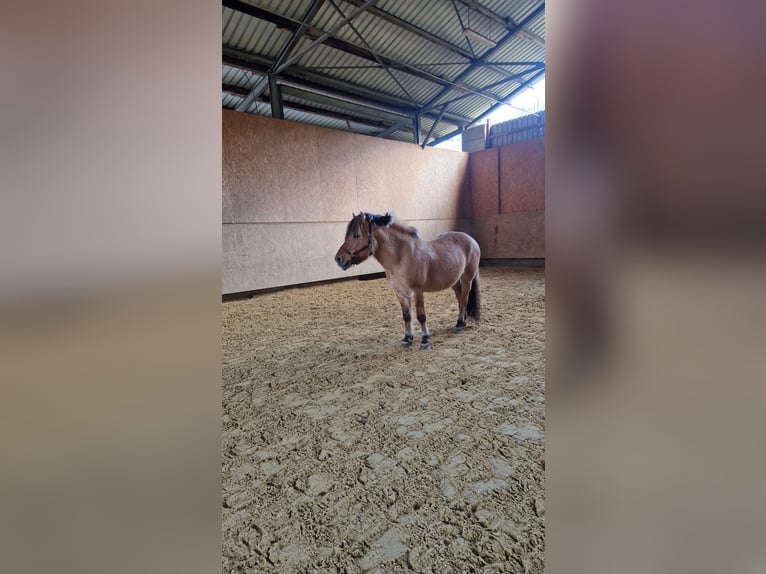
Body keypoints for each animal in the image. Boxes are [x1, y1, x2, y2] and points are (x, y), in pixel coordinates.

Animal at [334, 212, 481, 350]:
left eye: (357, 235)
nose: (338, 259)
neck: (401, 256)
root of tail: (471, 239)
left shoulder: (417, 290)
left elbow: (421, 316)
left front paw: (425, 340)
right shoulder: (400, 292)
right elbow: (406, 316)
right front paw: (407, 338)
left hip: (467, 279)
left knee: (464, 299)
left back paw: (460, 324)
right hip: (455, 282)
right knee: (460, 299)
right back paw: (461, 321)